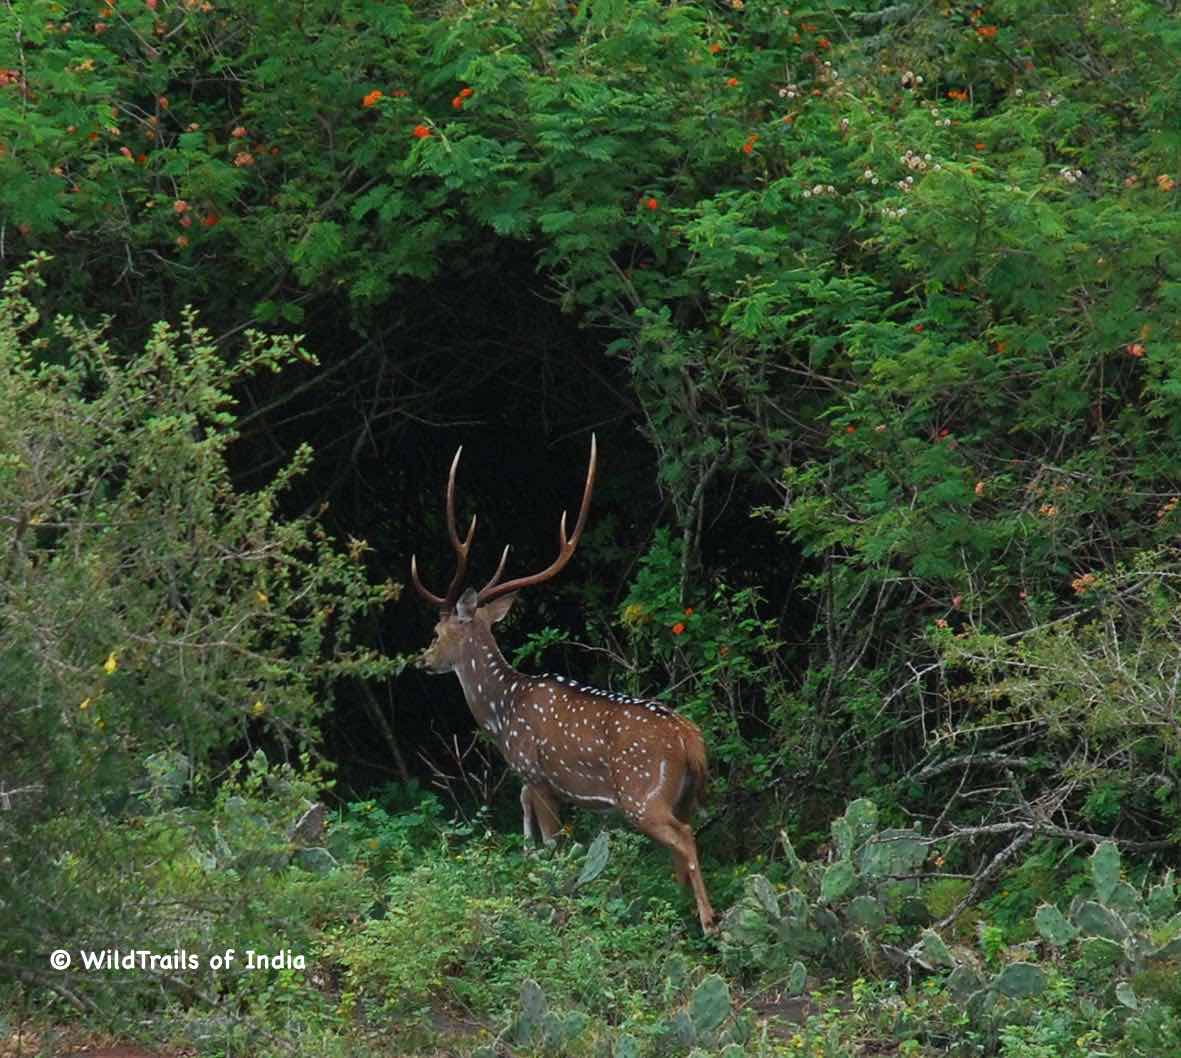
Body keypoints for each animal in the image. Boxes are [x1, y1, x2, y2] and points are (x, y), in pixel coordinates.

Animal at [410, 434, 713, 930]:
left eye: (437, 632)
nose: (423, 660)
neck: (501, 712)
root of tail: (691, 740)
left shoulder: (535, 772)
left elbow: (553, 845)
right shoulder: (531, 783)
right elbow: (531, 827)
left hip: (642, 793)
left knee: (685, 838)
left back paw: (709, 922)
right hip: (685, 795)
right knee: (683, 845)